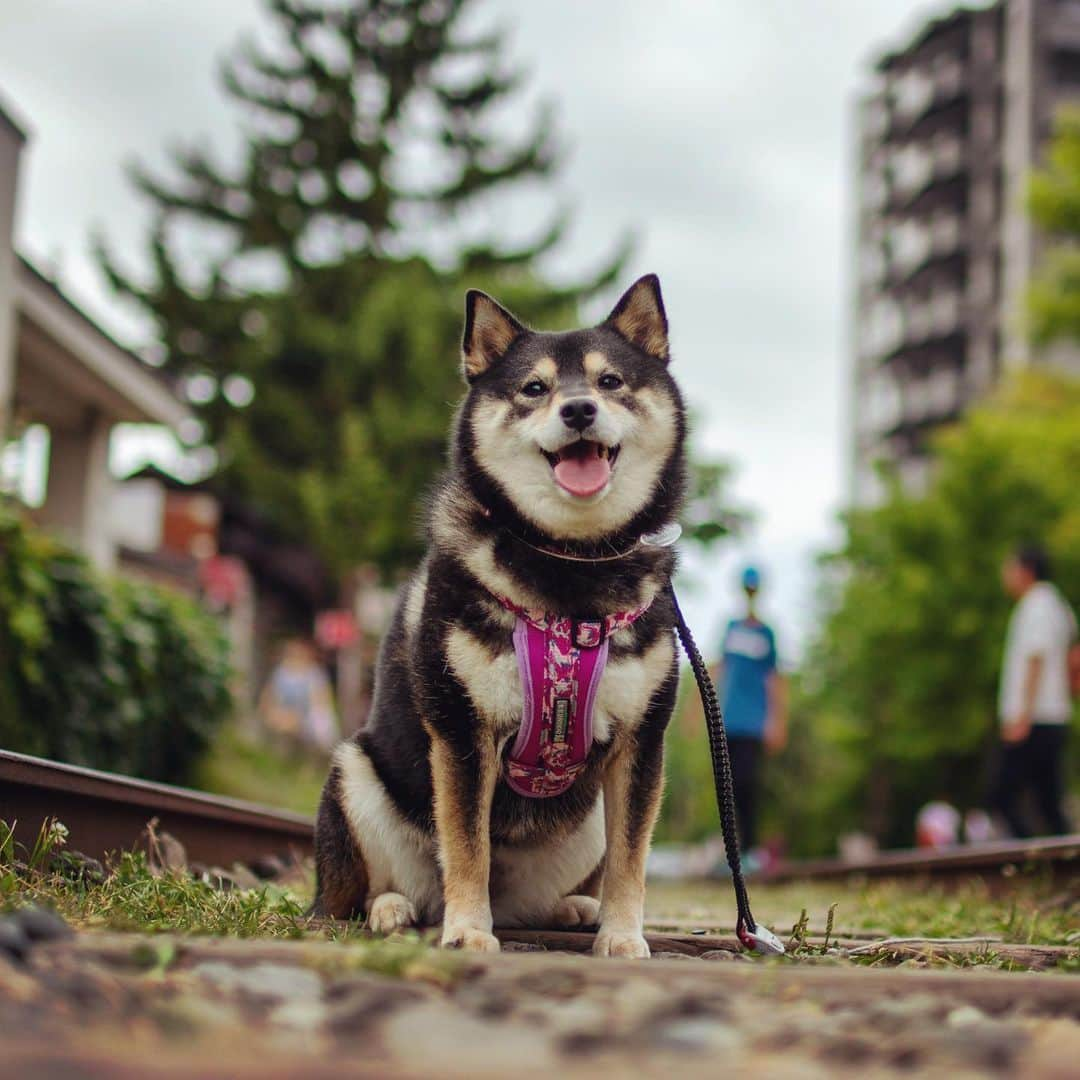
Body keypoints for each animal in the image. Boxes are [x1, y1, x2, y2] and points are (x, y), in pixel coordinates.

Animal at [313, 274, 682, 959]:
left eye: (610, 381)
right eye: (534, 388)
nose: (578, 409)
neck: (571, 568)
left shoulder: (641, 741)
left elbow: (631, 859)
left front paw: (622, 935)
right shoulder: (463, 729)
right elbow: (467, 847)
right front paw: (466, 931)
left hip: (584, 822)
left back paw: (573, 909)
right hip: (355, 773)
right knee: (355, 897)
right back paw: (393, 910)